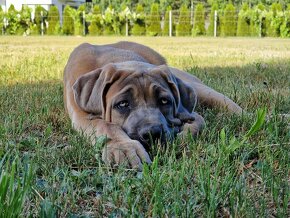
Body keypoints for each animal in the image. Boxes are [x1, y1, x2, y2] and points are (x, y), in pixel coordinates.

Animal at [64, 41, 242, 170]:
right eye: (123, 104)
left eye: (164, 101)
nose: (152, 133)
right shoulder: (81, 114)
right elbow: (105, 125)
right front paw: (124, 148)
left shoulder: (186, 111)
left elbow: (199, 121)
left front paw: (184, 133)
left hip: (198, 87)